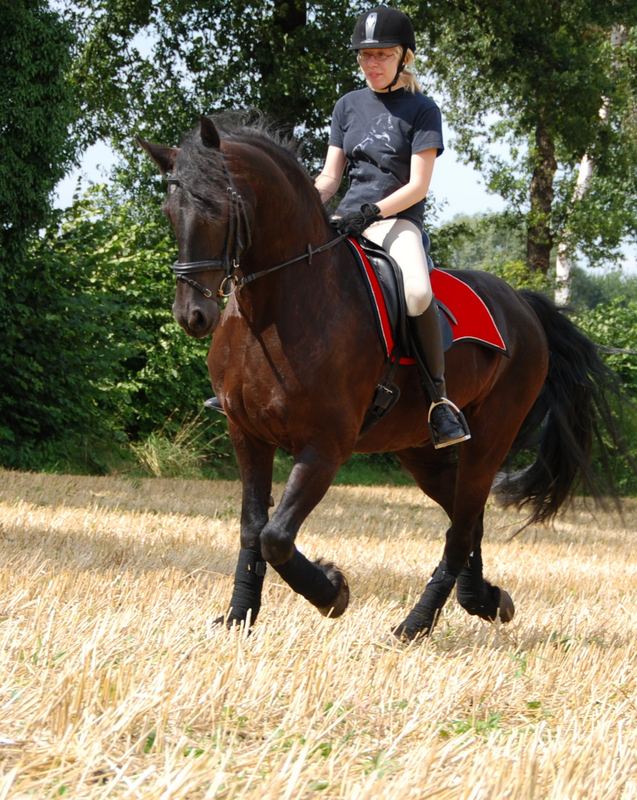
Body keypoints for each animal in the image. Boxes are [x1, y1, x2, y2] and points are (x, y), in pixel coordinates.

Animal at [139, 115, 620, 640]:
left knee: (460, 527)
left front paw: (332, 591)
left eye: (221, 208)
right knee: (466, 520)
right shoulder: (247, 434)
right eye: (170, 210)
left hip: (488, 441)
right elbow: (251, 527)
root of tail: (523, 306)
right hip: (419, 451)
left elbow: (276, 536)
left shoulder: (325, 446)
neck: (274, 312)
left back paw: (416, 624)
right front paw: (237, 616)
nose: (193, 315)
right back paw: (485, 600)